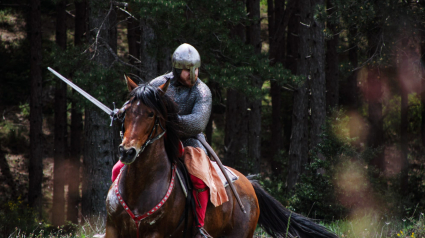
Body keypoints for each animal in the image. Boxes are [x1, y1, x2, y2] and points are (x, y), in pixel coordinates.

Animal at [101, 76, 336, 238]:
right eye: (126, 112)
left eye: (151, 114)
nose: (127, 151)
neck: (140, 187)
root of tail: (249, 184)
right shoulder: (113, 230)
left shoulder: (155, 234)